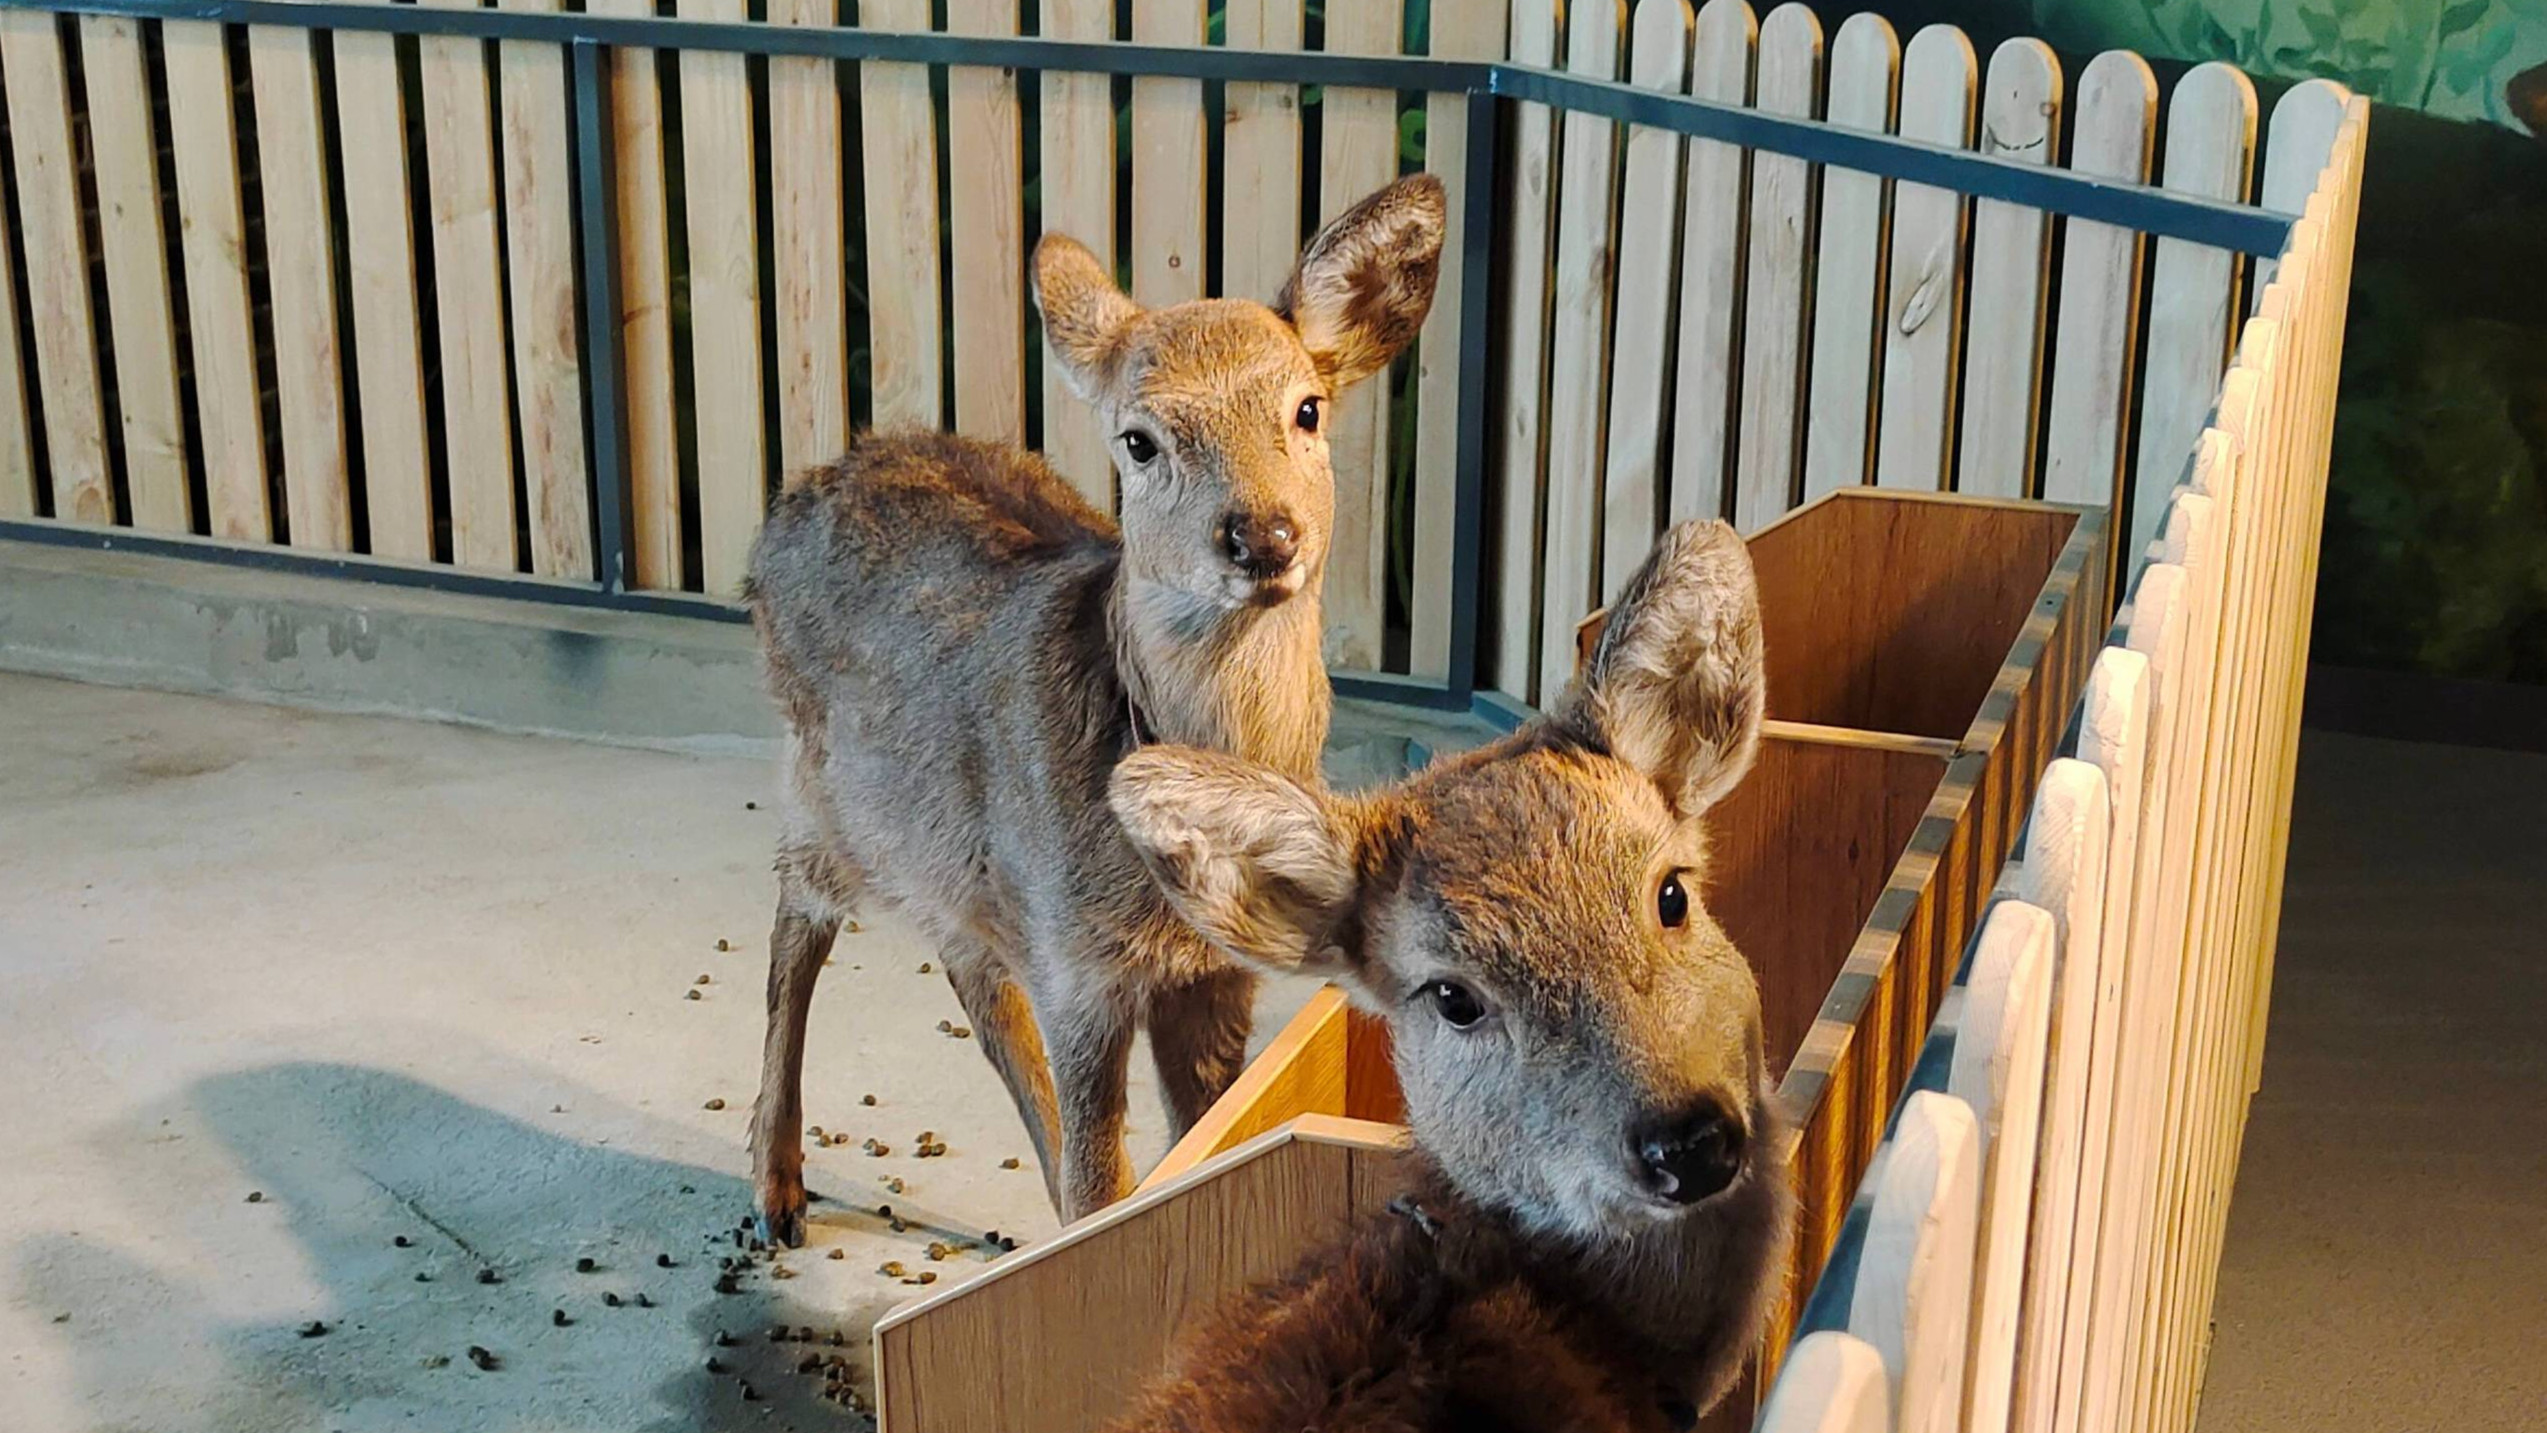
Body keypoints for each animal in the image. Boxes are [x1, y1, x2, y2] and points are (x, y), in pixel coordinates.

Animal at [743, 174, 1446, 1237]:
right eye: (1139, 439)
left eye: (1308, 408)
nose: (1262, 535)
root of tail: (793, 499)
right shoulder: (1079, 965)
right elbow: (1100, 1170)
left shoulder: (1212, 972)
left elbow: (1205, 1132)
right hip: (822, 786)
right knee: (793, 922)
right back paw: (776, 1186)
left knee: (969, 970)